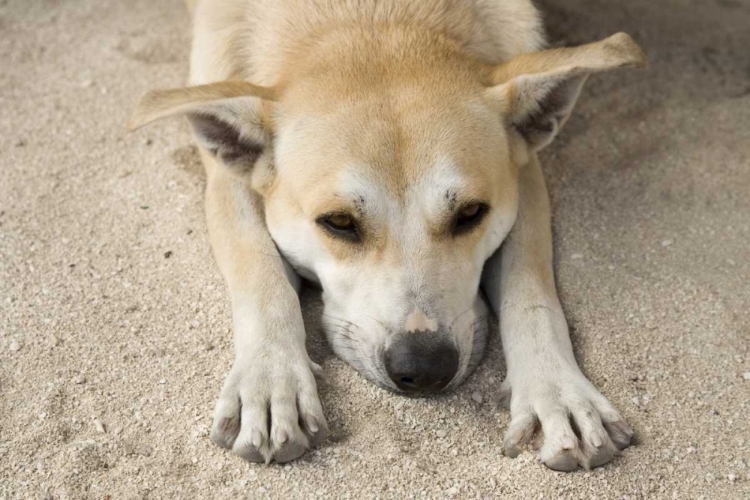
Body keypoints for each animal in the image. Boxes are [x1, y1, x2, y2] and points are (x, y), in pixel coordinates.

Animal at [128, 0, 648, 470]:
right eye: (338, 222)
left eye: (471, 213)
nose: (425, 368)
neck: (372, 18)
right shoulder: (225, 179)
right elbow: (260, 274)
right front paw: (271, 379)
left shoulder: (525, 179)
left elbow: (531, 291)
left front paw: (557, 389)